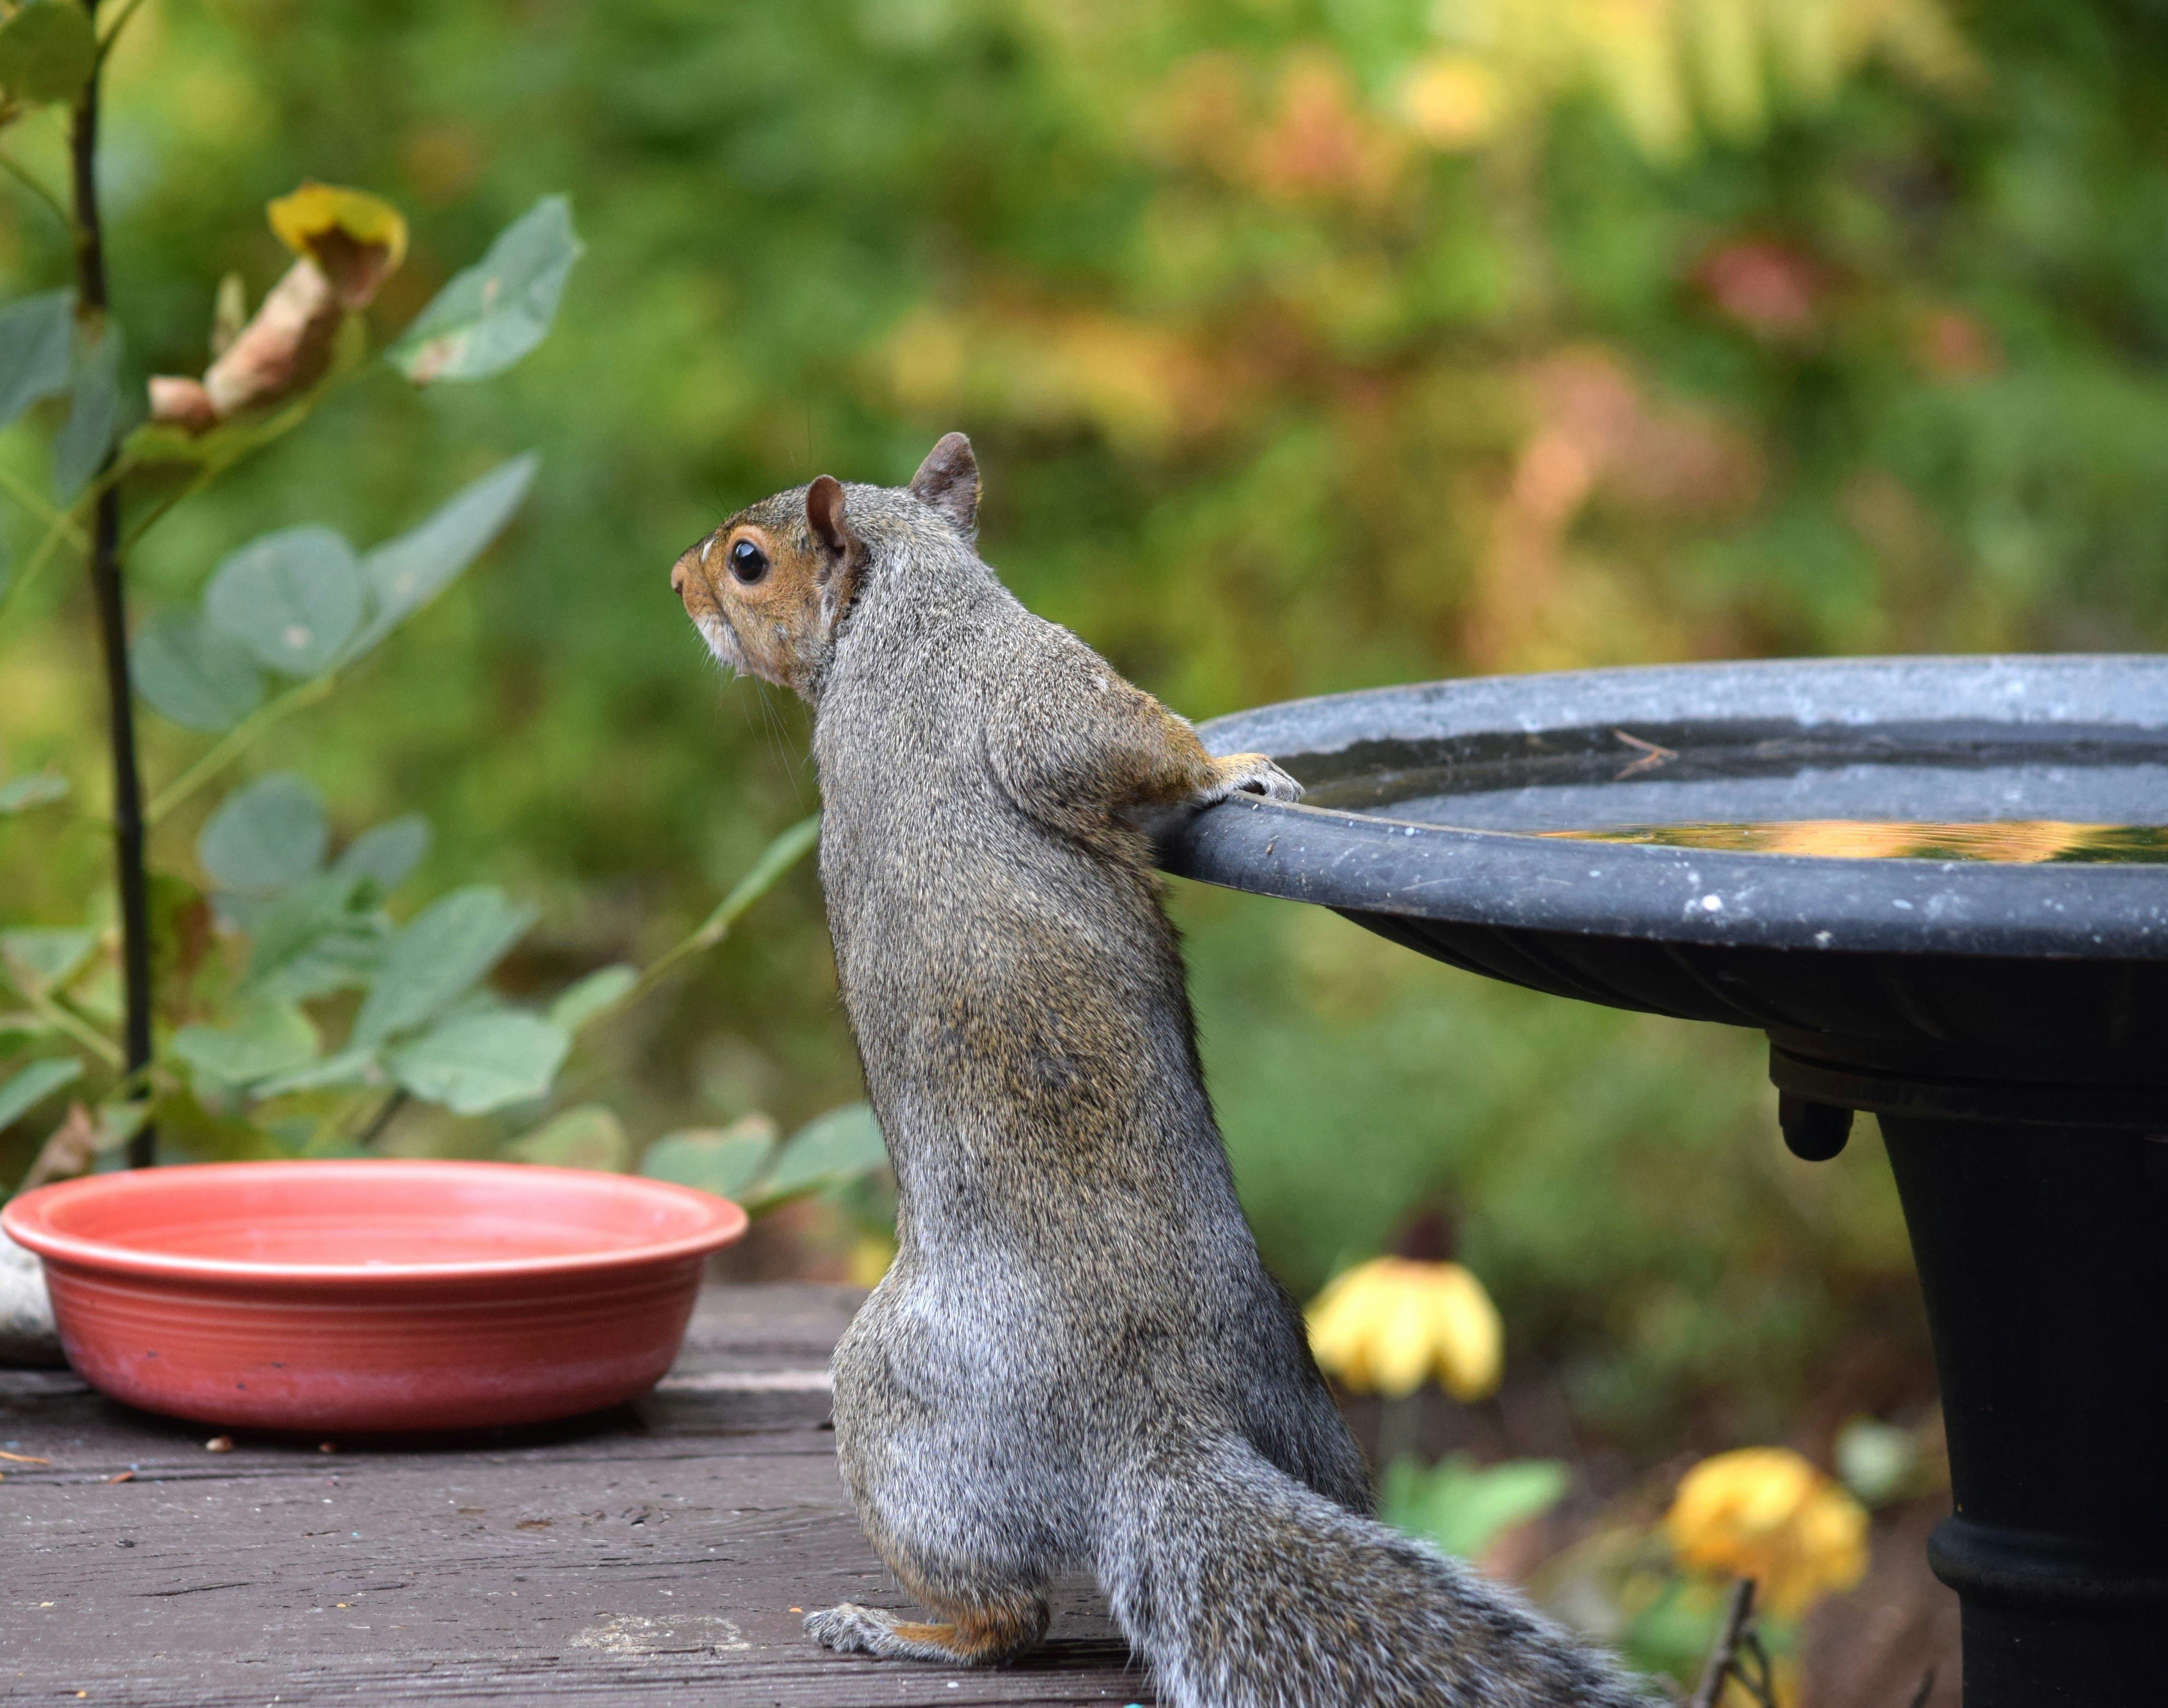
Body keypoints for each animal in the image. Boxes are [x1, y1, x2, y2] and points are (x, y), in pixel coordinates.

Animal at [670, 433, 1653, 1708]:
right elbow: (1120, 748)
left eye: (746, 561)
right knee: (1006, 1620)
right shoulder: (1027, 687)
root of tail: (1152, 1423)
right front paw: (1231, 765)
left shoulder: (1001, 672)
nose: (677, 584)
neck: (904, 594)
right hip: (902, 1423)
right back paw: (898, 1627)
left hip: (1292, 1403)